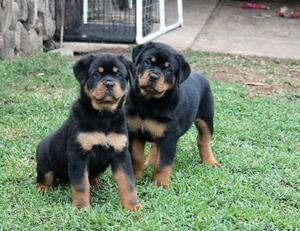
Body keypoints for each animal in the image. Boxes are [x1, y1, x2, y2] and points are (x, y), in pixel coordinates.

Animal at [36, 53, 142, 210]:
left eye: (118, 75)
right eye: (97, 74)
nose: (109, 84)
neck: (103, 116)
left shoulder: (121, 153)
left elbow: (128, 183)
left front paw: (132, 205)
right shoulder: (78, 155)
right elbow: (81, 184)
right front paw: (81, 207)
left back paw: (96, 183)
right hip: (44, 161)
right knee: (45, 177)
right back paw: (43, 188)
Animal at [125, 42, 220, 189]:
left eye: (168, 70)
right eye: (147, 61)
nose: (153, 76)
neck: (149, 102)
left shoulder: (169, 137)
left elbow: (163, 164)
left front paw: (159, 185)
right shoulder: (134, 132)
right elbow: (136, 158)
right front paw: (135, 179)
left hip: (206, 117)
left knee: (204, 140)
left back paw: (210, 161)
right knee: (155, 146)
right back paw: (149, 163)